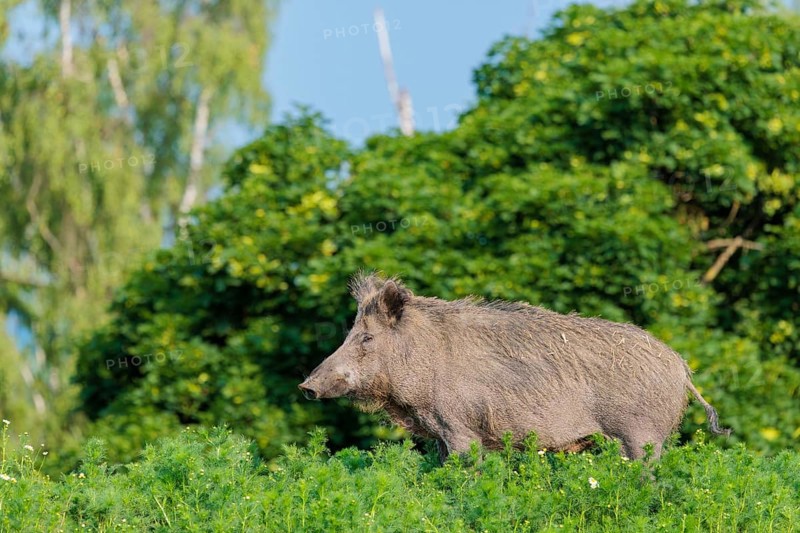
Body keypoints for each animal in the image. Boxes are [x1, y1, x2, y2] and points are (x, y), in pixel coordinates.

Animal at [298, 273, 730, 461]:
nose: (306, 386)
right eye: (350, 332)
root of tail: (682, 369)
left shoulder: (459, 425)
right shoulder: (438, 433)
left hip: (642, 435)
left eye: (366, 338)